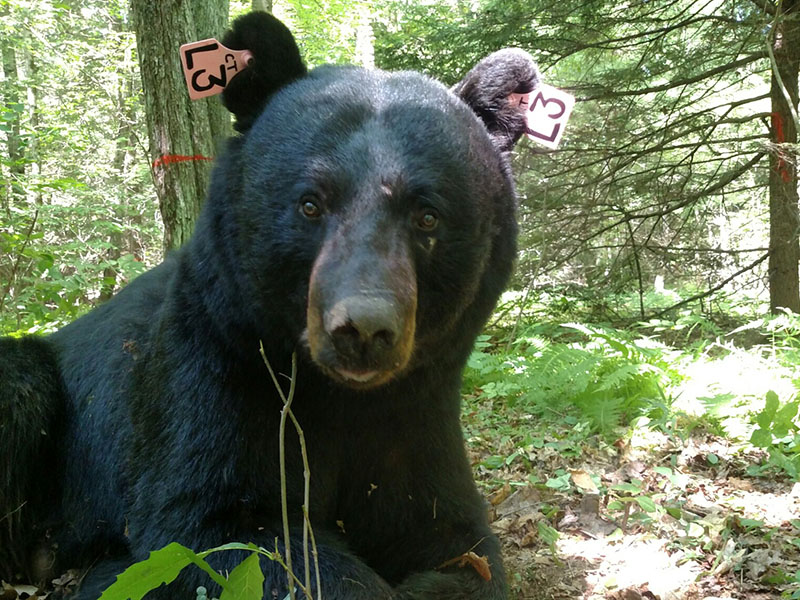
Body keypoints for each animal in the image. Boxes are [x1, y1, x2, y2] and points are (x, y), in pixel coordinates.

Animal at [0, 11, 539, 599]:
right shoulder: (214, 367)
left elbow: (457, 536)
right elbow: (217, 524)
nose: (363, 329)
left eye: (427, 215)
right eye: (310, 203)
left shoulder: (416, 410)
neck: (339, 396)